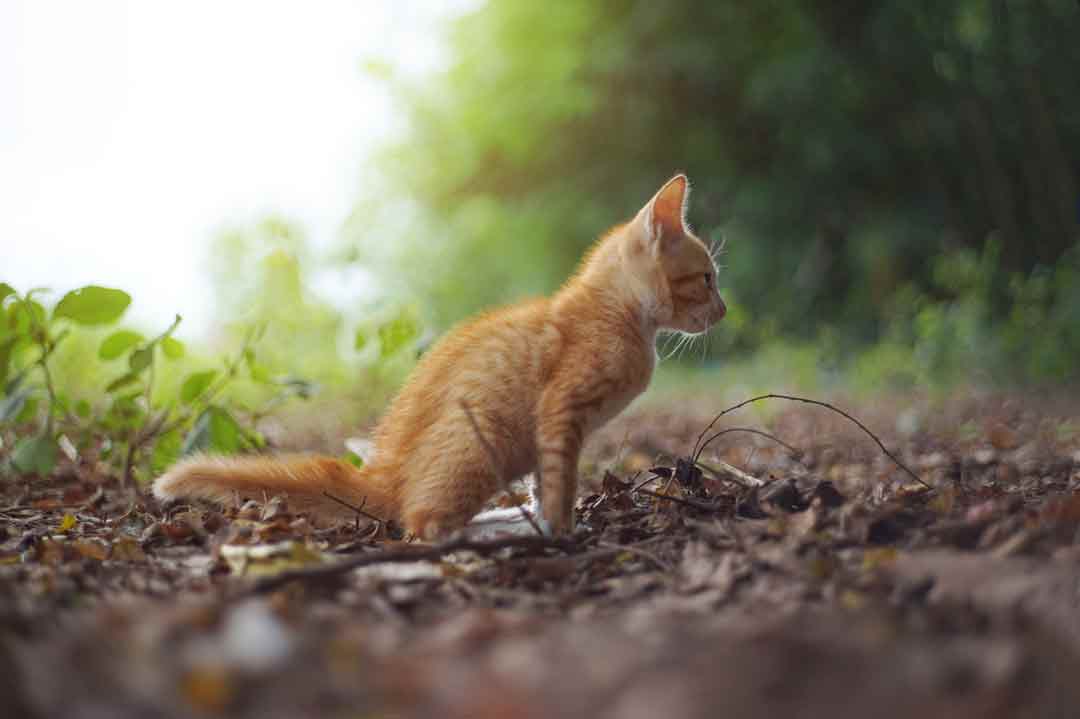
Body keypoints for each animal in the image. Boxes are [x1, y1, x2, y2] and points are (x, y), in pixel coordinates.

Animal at [152, 174, 725, 537]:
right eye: (706, 278)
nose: (721, 310)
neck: (615, 314)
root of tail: (381, 475)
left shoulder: (551, 430)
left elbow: (546, 484)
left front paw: (549, 522)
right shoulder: (561, 409)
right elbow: (560, 480)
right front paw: (563, 532)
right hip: (482, 438)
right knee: (423, 525)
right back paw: (492, 530)